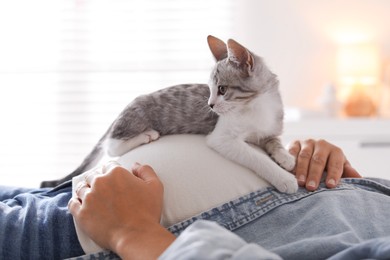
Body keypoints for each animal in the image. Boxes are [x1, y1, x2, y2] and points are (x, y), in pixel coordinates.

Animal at [39, 35, 298, 193]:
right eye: (211, 89)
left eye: (222, 89)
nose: (210, 105)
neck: (257, 106)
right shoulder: (222, 138)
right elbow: (255, 157)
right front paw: (283, 178)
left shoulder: (270, 127)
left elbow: (273, 140)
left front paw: (285, 156)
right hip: (137, 116)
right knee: (111, 146)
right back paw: (146, 136)